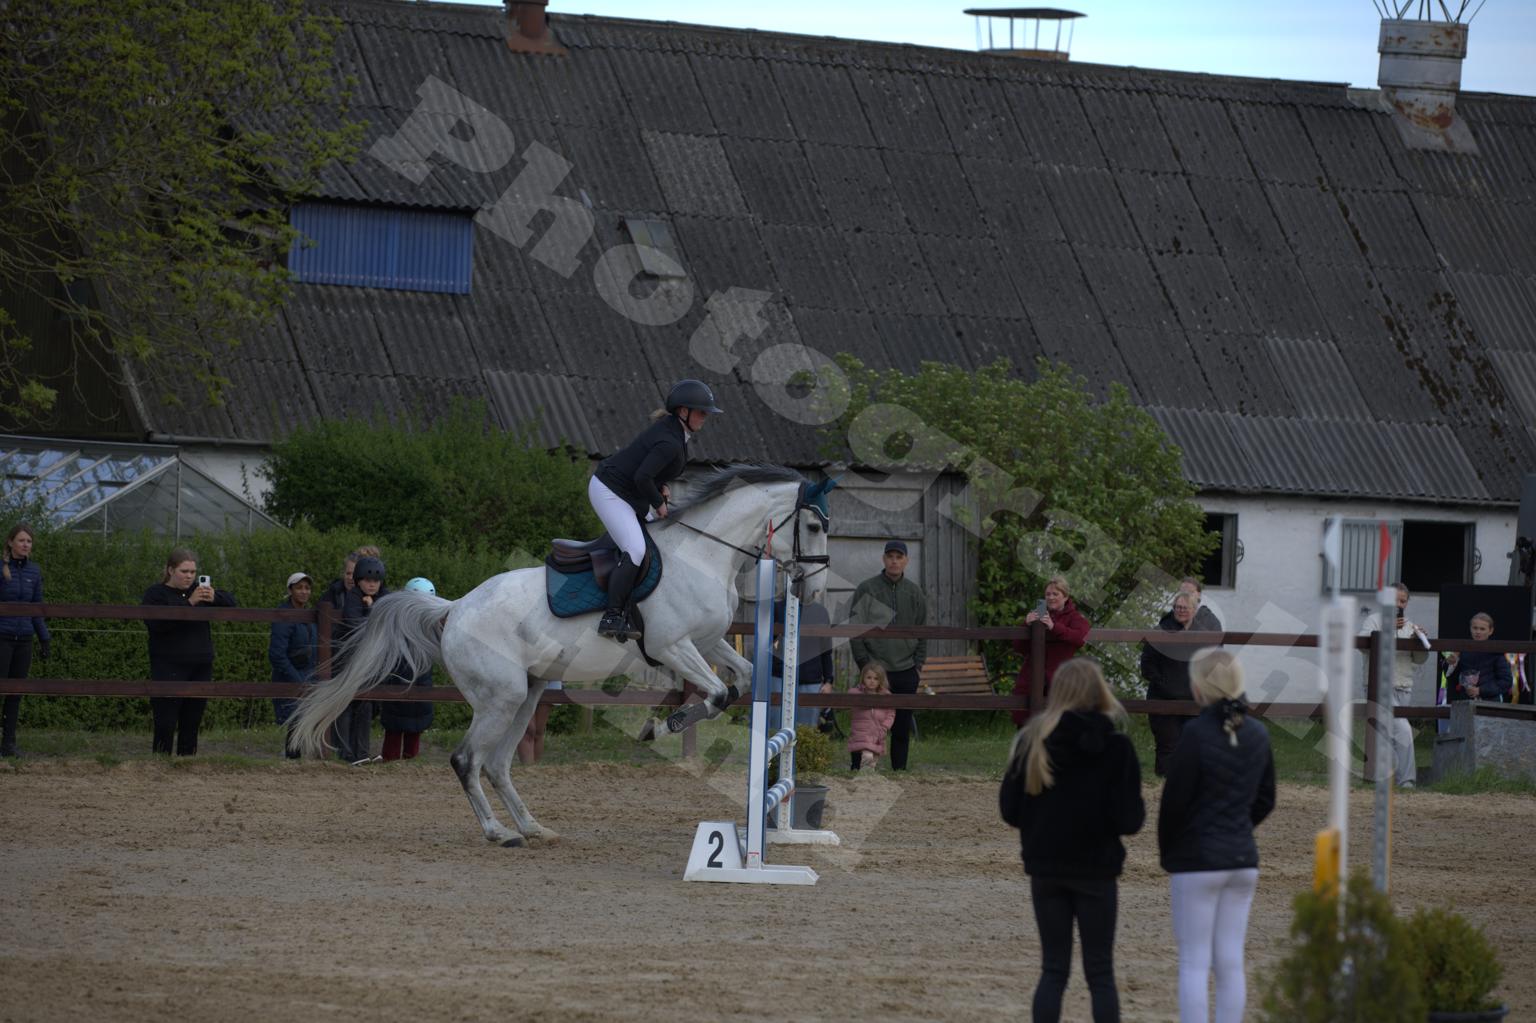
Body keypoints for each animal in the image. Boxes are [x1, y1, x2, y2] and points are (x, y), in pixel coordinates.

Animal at [288, 464, 834, 848]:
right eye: (811, 524)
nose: (814, 589)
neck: (702, 555)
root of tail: (455, 608)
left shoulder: (707, 642)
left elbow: (742, 679)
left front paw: (666, 722)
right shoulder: (673, 646)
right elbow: (718, 694)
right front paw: (661, 726)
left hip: (526, 694)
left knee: (497, 764)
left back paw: (533, 827)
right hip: (501, 697)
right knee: (468, 760)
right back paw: (499, 833)